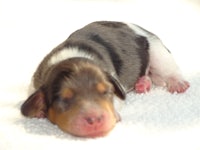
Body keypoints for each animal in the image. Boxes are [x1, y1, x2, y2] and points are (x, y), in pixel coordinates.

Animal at [21, 21, 190, 138]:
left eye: (106, 92)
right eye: (64, 99)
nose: (95, 119)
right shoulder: (36, 80)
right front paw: (39, 110)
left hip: (157, 51)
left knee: (168, 70)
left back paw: (177, 83)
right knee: (149, 75)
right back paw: (142, 84)